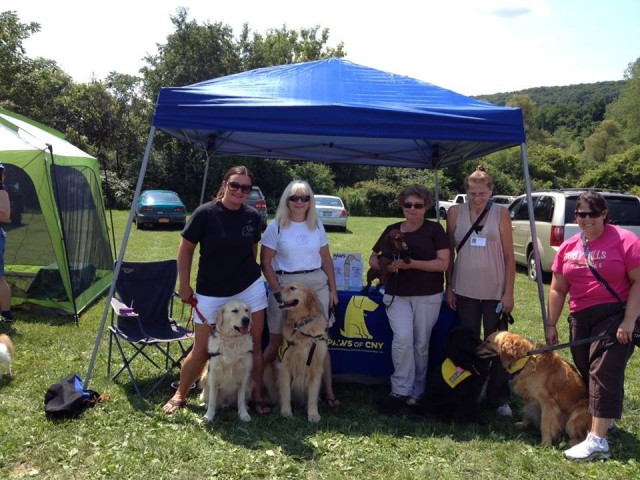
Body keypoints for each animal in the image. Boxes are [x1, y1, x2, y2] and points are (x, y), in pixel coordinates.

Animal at [272, 284, 328, 422]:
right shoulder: (284, 366)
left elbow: (313, 395)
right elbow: (286, 393)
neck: (301, 324)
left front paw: (313, 414)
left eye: (293, 288)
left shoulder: (316, 367)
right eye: (282, 287)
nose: (276, 294)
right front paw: (286, 412)